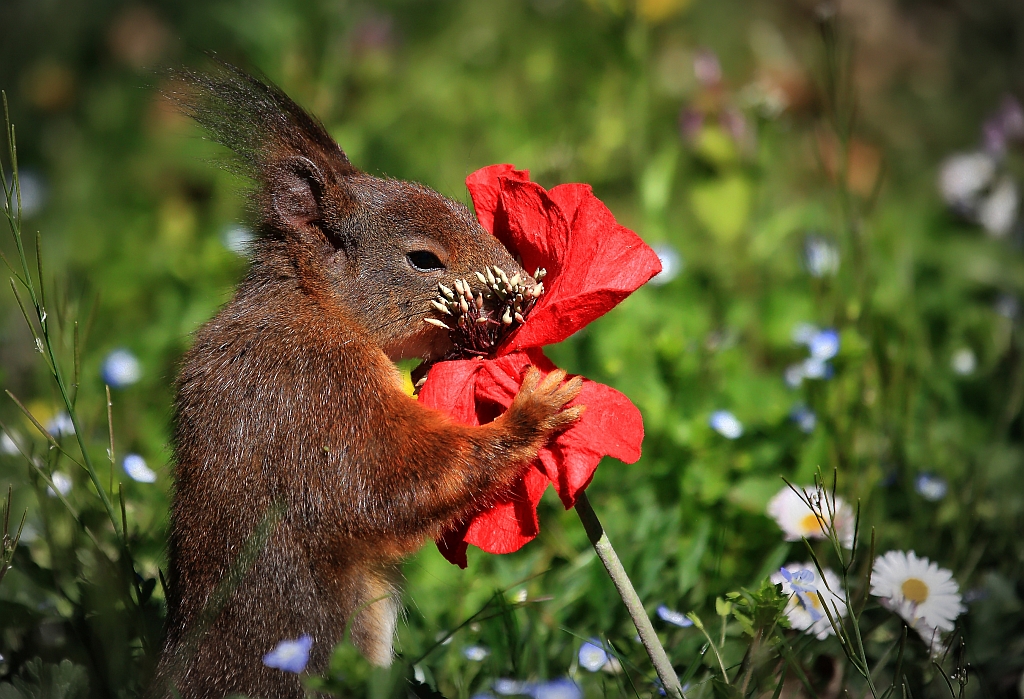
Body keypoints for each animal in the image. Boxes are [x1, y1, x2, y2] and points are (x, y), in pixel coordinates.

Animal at [150, 62, 585, 695]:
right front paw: (533, 412)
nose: (524, 294)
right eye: (423, 259)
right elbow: (387, 482)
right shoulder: (318, 387)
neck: (317, 303)